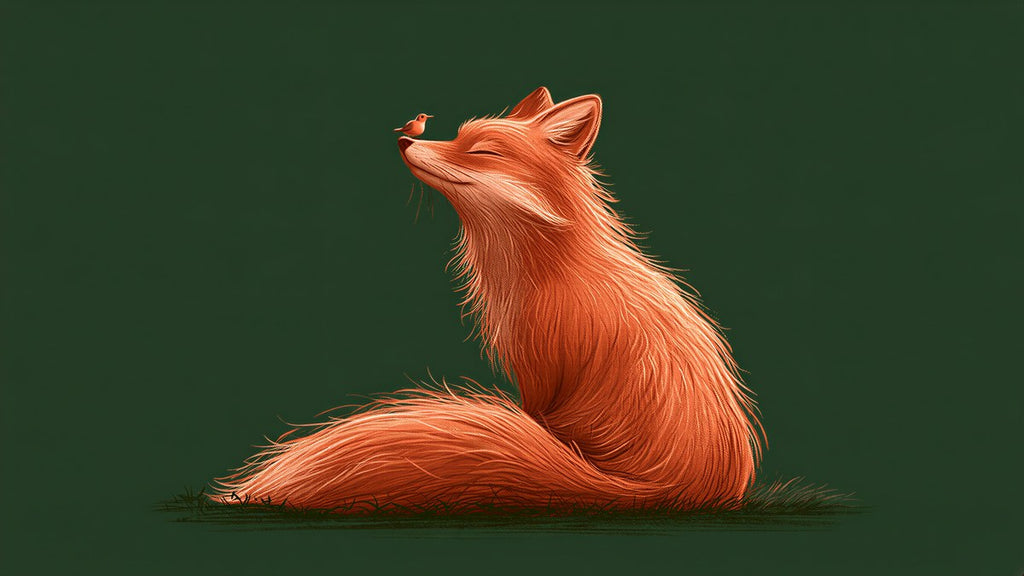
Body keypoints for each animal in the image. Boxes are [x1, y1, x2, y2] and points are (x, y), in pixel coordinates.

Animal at [212, 87, 764, 512]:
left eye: (482, 152)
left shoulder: (540, 377)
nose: (405, 138)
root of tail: (683, 487)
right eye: (456, 137)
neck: (549, 271)